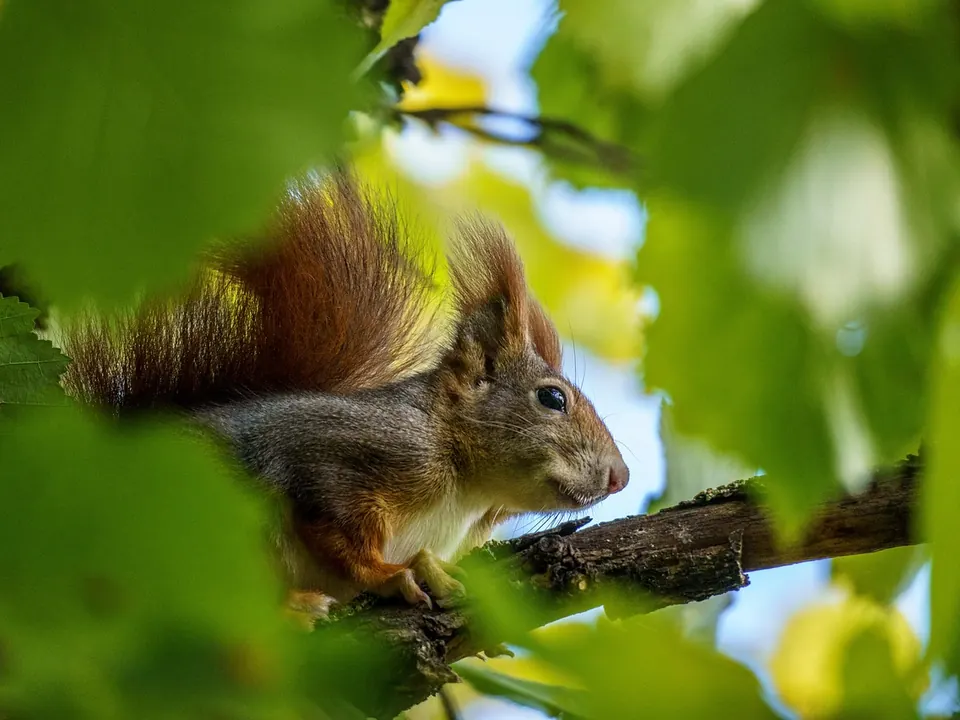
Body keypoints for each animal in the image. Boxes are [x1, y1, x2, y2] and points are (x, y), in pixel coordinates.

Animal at [60, 172, 630, 624]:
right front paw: (395, 574)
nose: (620, 477)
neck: (465, 491)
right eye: (552, 399)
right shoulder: (337, 458)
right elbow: (338, 528)